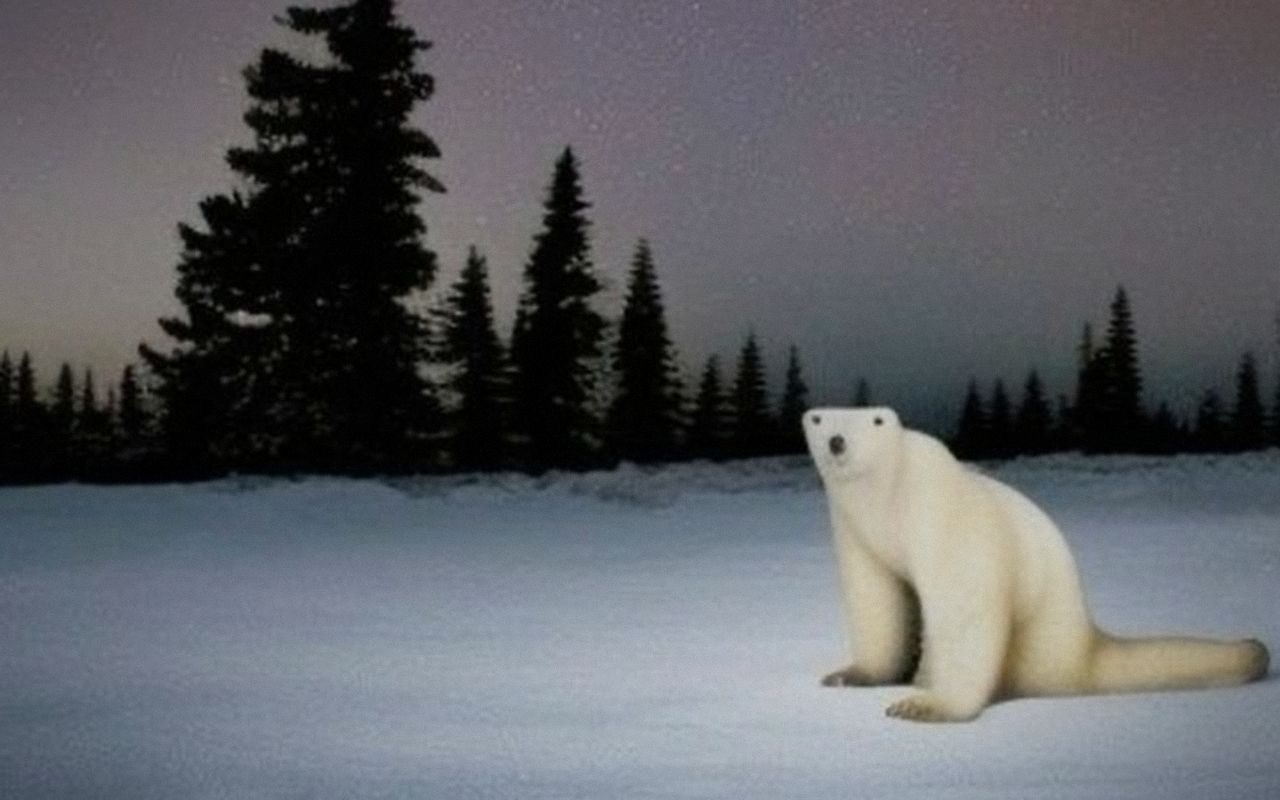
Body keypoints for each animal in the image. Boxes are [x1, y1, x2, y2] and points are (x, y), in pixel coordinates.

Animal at [803, 406, 1269, 722]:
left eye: (874, 421)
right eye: (818, 419)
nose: (837, 442)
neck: (887, 498)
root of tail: (1083, 645)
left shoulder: (942, 512)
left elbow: (965, 606)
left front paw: (923, 704)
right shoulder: (857, 532)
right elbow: (877, 597)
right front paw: (849, 675)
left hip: (1038, 641)